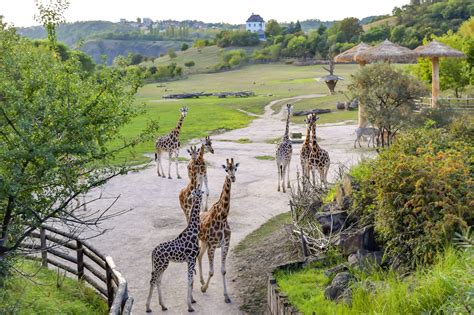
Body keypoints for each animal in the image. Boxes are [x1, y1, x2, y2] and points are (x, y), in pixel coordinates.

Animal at [197, 159, 239, 304]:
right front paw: (204, 289)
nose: (232, 178)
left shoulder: (225, 244)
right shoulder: (213, 246)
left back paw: (201, 280)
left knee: (199, 256)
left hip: (204, 242)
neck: (222, 217)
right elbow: (212, 271)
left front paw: (226, 296)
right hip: (201, 242)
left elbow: (223, 270)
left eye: (235, 168)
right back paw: (199, 284)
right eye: (226, 169)